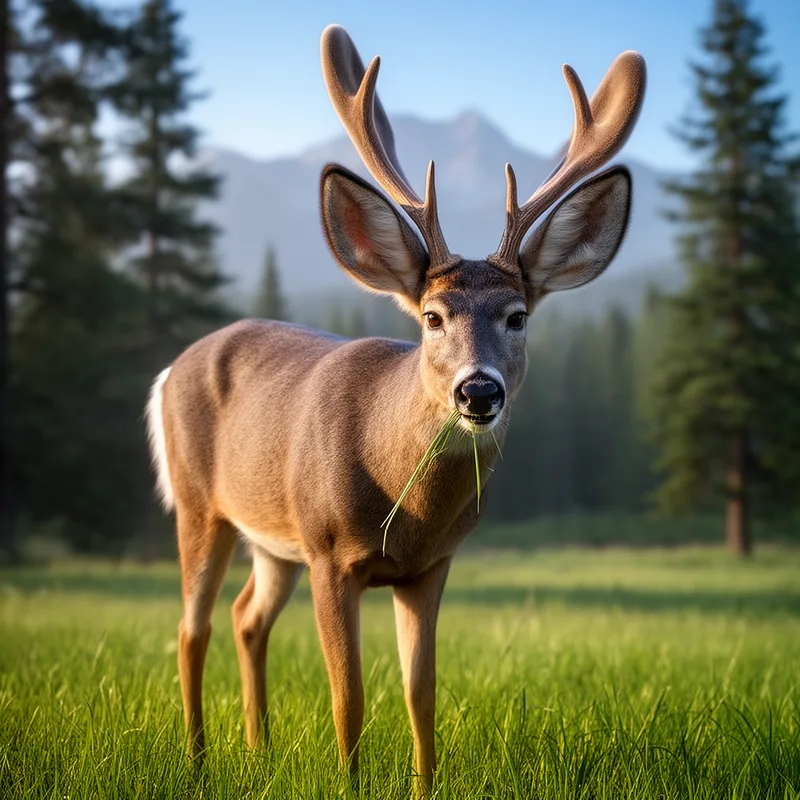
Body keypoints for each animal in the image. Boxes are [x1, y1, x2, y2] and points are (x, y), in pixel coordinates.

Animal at [144, 22, 646, 796]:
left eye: (519, 316)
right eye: (433, 317)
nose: (479, 391)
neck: (400, 504)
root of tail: (173, 367)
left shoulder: (431, 566)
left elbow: (421, 692)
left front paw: (424, 783)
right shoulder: (328, 551)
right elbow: (347, 695)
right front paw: (348, 780)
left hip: (272, 541)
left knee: (245, 619)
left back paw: (257, 750)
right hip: (203, 507)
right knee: (190, 627)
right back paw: (198, 760)